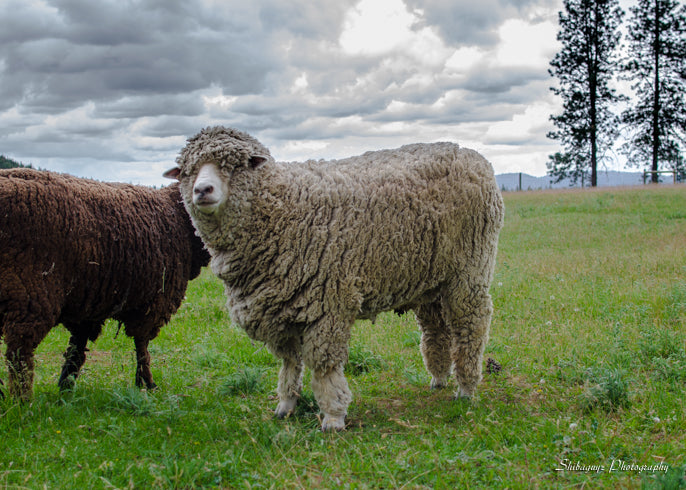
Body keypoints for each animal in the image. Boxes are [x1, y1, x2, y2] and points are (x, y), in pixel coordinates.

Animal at [0, 168, 210, 400]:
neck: (179, 215)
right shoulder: (153, 302)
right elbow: (142, 347)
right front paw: (147, 384)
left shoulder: (87, 303)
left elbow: (76, 350)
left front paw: (66, 388)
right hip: (31, 291)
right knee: (19, 355)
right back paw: (22, 401)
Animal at [164, 126, 504, 431]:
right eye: (187, 171)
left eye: (235, 165)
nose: (202, 191)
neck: (282, 206)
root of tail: (473, 155)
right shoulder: (280, 308)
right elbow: (289, 362)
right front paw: (286, 404)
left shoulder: (328, 304)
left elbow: (324, 366)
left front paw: (333, 416)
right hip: (431, 279)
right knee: (437, 330)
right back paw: (438, 379)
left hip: (469, 271)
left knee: (471, 326)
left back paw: (466, 388)